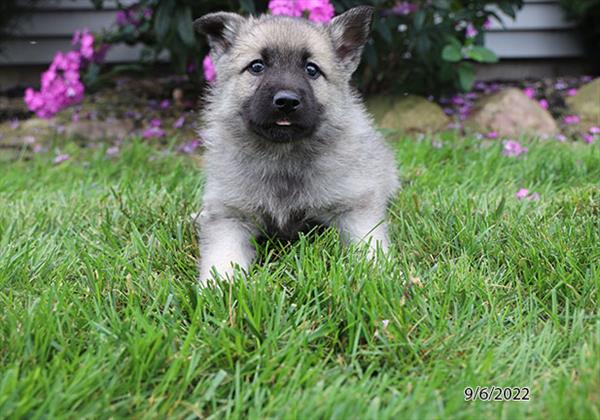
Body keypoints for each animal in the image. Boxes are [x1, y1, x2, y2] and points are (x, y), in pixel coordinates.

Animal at [192, 5, 398, 286]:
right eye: (257, 66)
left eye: (311, 70)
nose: (286, 101)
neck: (283, 155)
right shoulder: (229, 215)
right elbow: (223, 255)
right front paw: (220, 287)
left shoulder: (355, 208)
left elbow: (368, 245)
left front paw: (381, 276)